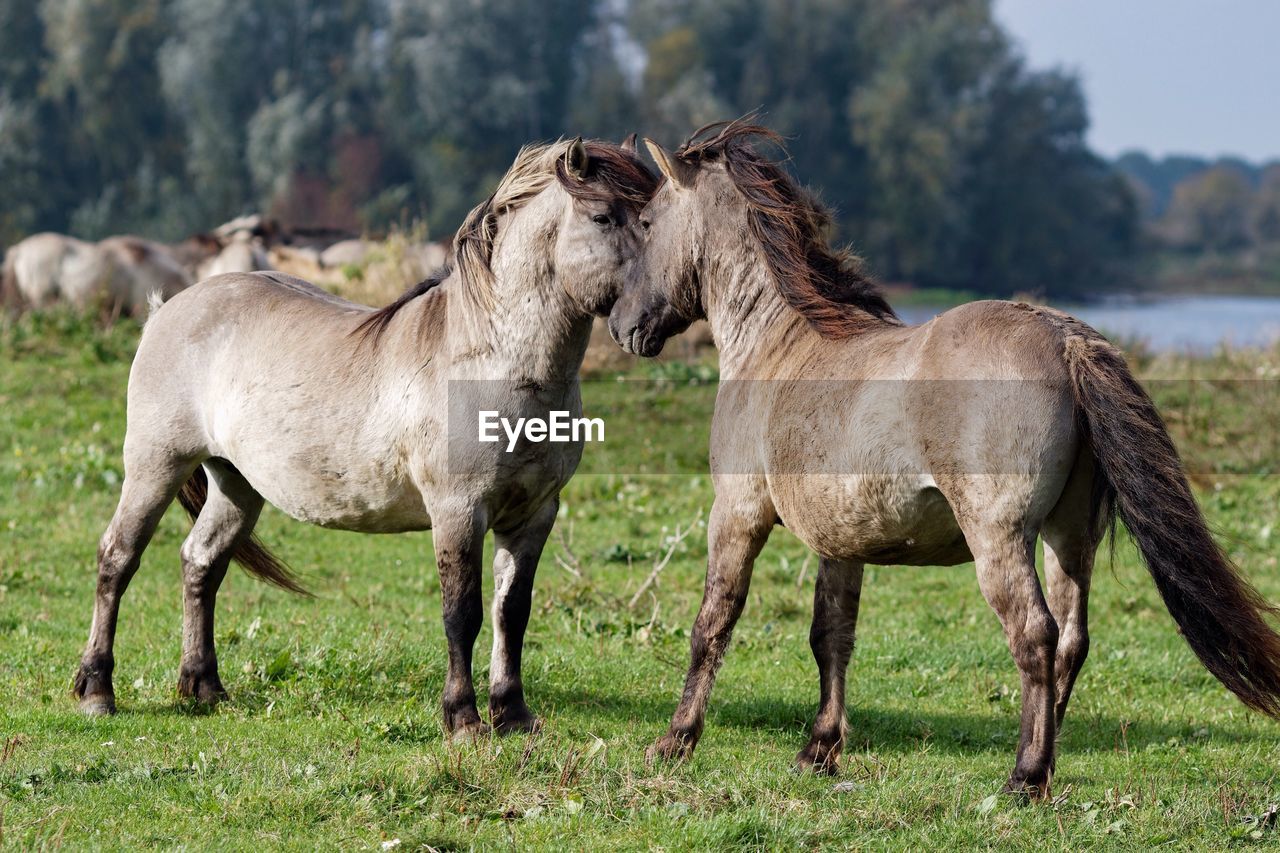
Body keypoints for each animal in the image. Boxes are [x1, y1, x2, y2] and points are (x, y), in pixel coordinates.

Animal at [76, 139, 660, 737]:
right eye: (602, 216)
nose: (647, 323)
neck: (494, 361)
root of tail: (165, 310)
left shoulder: (535, 514)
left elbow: (511, 612)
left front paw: (513, 713)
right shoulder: (458, 511)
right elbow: (463, 613)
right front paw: (463, 718)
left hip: (236, 484)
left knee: (201, 562)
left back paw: (204, 687)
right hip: (155, 466)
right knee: (117, 558)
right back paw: (97, 690)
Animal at [606, 121, 1280, 799]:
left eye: (647, 221)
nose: (620, 325)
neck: (777, 346)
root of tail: (1065, 340)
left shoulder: (738, 512)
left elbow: (712, 623)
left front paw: (674, 742)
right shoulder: (839, 541)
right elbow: (831, 636)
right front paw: (819, 750)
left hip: (999, 537)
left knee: (1035, 635)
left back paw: (1024, 777)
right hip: (1068, 535)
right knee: (1071, 641)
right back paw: (1048, 762)